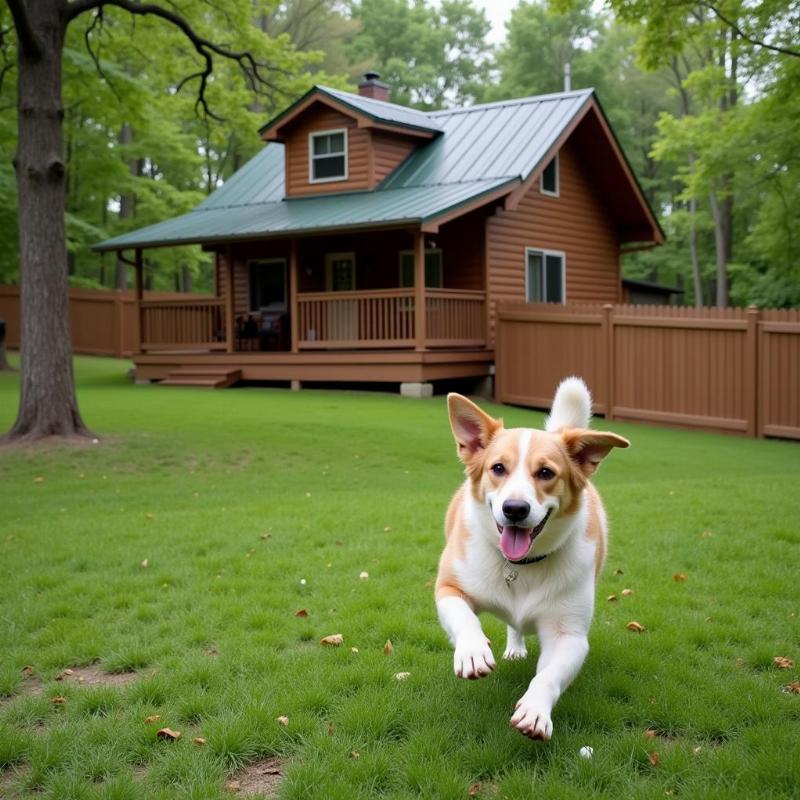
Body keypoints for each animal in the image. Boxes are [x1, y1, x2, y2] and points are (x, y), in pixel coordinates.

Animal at [434, 378, 628, 740]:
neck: (519, 566)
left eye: (546, 472)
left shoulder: (569, 635)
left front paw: (536, 710)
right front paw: (472, 651)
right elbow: (465, 618)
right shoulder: (449, 587)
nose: (515, 509)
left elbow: (549, 675)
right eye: (498, 468)